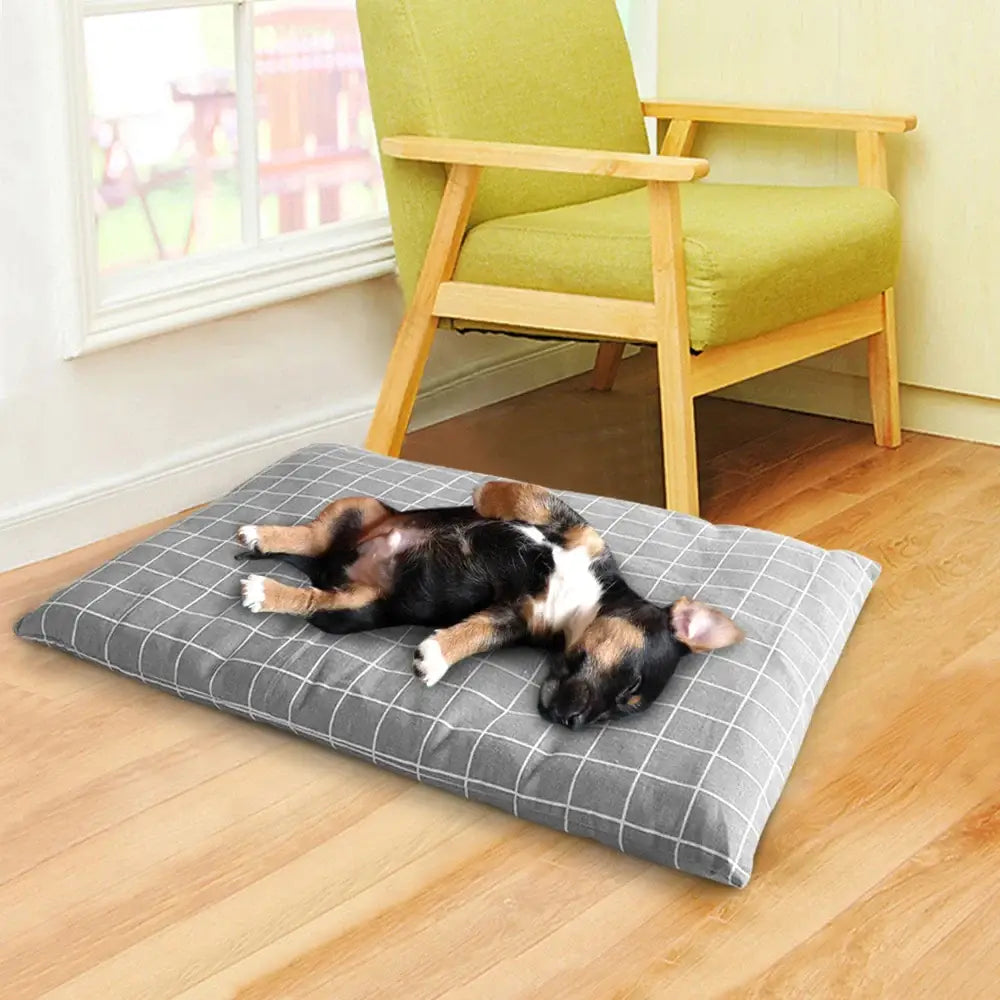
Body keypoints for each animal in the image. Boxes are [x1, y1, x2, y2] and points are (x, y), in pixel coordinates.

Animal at [238, 480, 744, 732]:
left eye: (623, 710)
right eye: (631, 687)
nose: (573, 723)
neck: (585, 602)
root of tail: (327, 566)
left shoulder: (510, 618)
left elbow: (475, 633)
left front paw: (436, 658)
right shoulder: (579, 533)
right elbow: (526, 495)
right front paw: (487, 496)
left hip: (355, 608)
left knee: (312, 595)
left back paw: (267, 587)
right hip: (359, 508)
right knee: (310, 536)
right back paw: (261, 538)